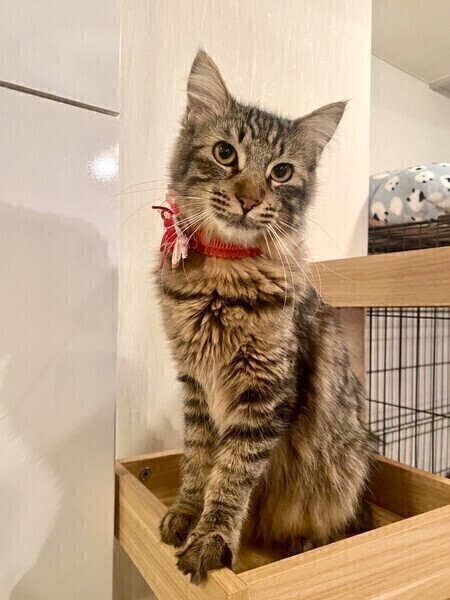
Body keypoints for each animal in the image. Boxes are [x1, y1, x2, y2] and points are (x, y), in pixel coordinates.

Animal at [157, 50, 375, 584]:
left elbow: (231, 474)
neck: (222, 277)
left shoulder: (264, 394)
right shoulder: (196, 385)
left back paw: (304, 543)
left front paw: (210, 539)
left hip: (344, 472)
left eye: (280, 172)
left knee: (333, 525)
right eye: (225, 153)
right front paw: (186, 513)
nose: (249, 198)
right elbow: (198, 462)